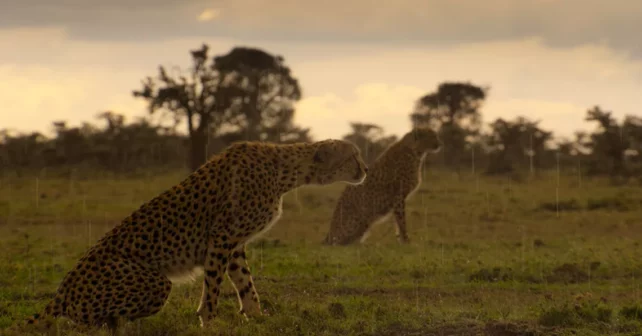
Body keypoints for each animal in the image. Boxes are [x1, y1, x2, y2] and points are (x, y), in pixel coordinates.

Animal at [25, 138, 368, 334]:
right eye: (353, 156)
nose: (365, 169)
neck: (285, 172)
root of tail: (61, 291)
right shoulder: (221, 238)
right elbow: (213, 287)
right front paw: (210, 323)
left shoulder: (234, 244)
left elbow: (246, 284)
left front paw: (258, 318)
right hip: (155, 283)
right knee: (89, 324)